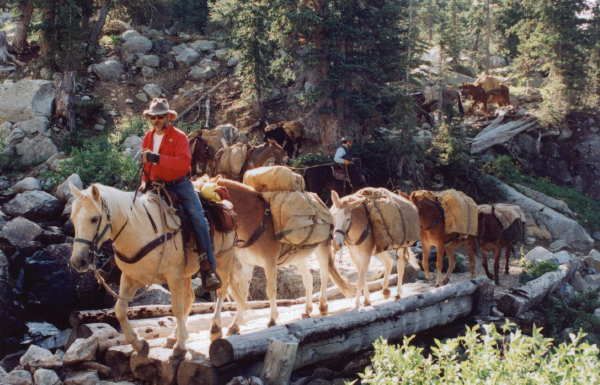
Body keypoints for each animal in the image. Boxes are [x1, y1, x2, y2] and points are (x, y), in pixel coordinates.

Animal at [68, 183, 241, 354]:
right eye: (73, 219)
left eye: (94, 219)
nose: (78, 261)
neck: (140, 230)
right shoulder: (131, 277)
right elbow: (120, 310)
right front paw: (138, 344)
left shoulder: (173, 276)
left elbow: (177, 308)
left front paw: (180, 347)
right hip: (186, 274)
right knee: (190, 298)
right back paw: (174, 336)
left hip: (223, 261)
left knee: (221, 292)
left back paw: (215, 330)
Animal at [207, 178, 354, 336]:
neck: (255, 222)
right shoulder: (247, 264)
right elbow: (243, 292)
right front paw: (234, 325)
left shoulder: (269, 262)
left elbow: (270, 289)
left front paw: (272, 319)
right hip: (299, 258)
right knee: (308, 279)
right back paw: (307, 310)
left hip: (322, 248)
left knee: (324, 275)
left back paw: (322, 306)